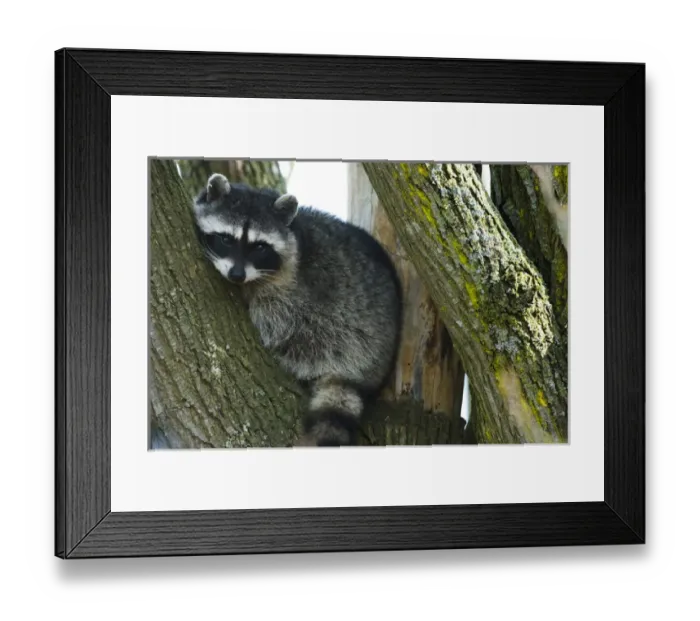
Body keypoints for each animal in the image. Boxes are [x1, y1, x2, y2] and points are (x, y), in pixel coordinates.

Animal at [192, 172, 403, 447]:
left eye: (259, 247)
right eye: (226, 239)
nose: (236, 275)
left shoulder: (292, 292)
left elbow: (274, 321)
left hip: (351, 333)